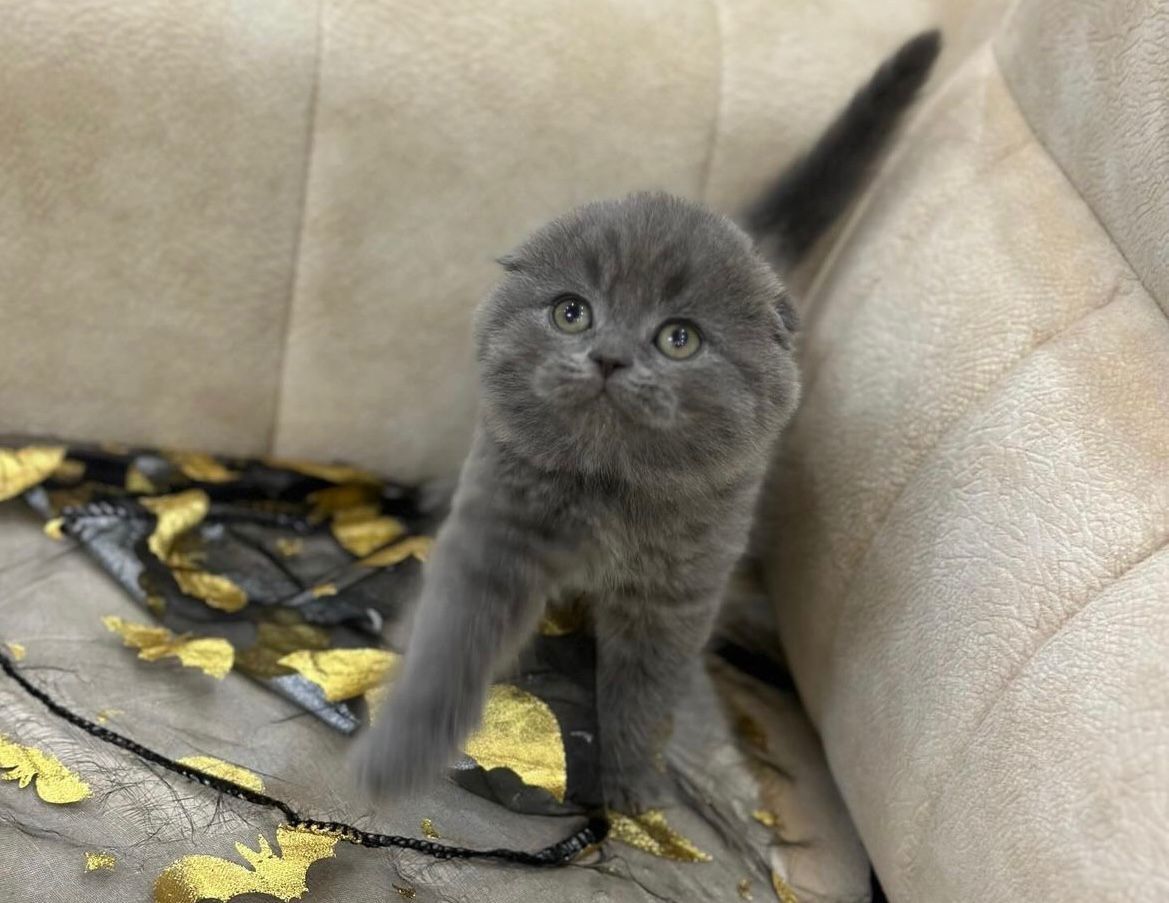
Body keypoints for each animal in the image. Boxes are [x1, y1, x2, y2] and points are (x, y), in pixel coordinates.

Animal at [355, 29, 939, 809]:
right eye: (572, 312)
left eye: (678, 338)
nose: (607, 357)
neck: (609, 489)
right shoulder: (494, 532)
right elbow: (451, 648)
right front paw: (397, 756)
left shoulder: (678, 593)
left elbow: (641, 691)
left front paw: (629, 786)